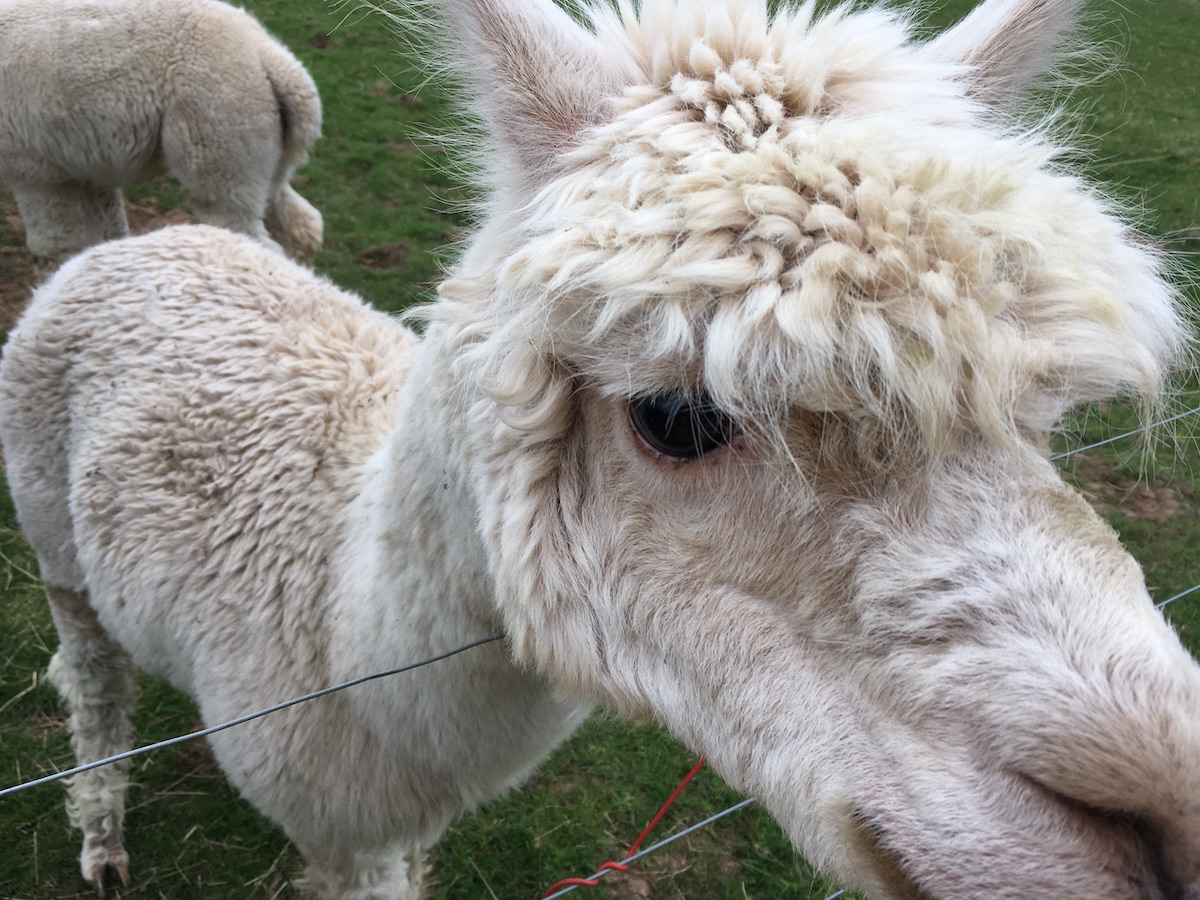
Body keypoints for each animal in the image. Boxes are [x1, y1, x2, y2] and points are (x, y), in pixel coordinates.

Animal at [0, 0, 323, 271]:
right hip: (268, 153)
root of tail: (266, 56)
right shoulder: (86, 162)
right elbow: (108, 233)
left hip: (218, 130)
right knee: (302, 223)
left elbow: (52, 248)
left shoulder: (34, 171)